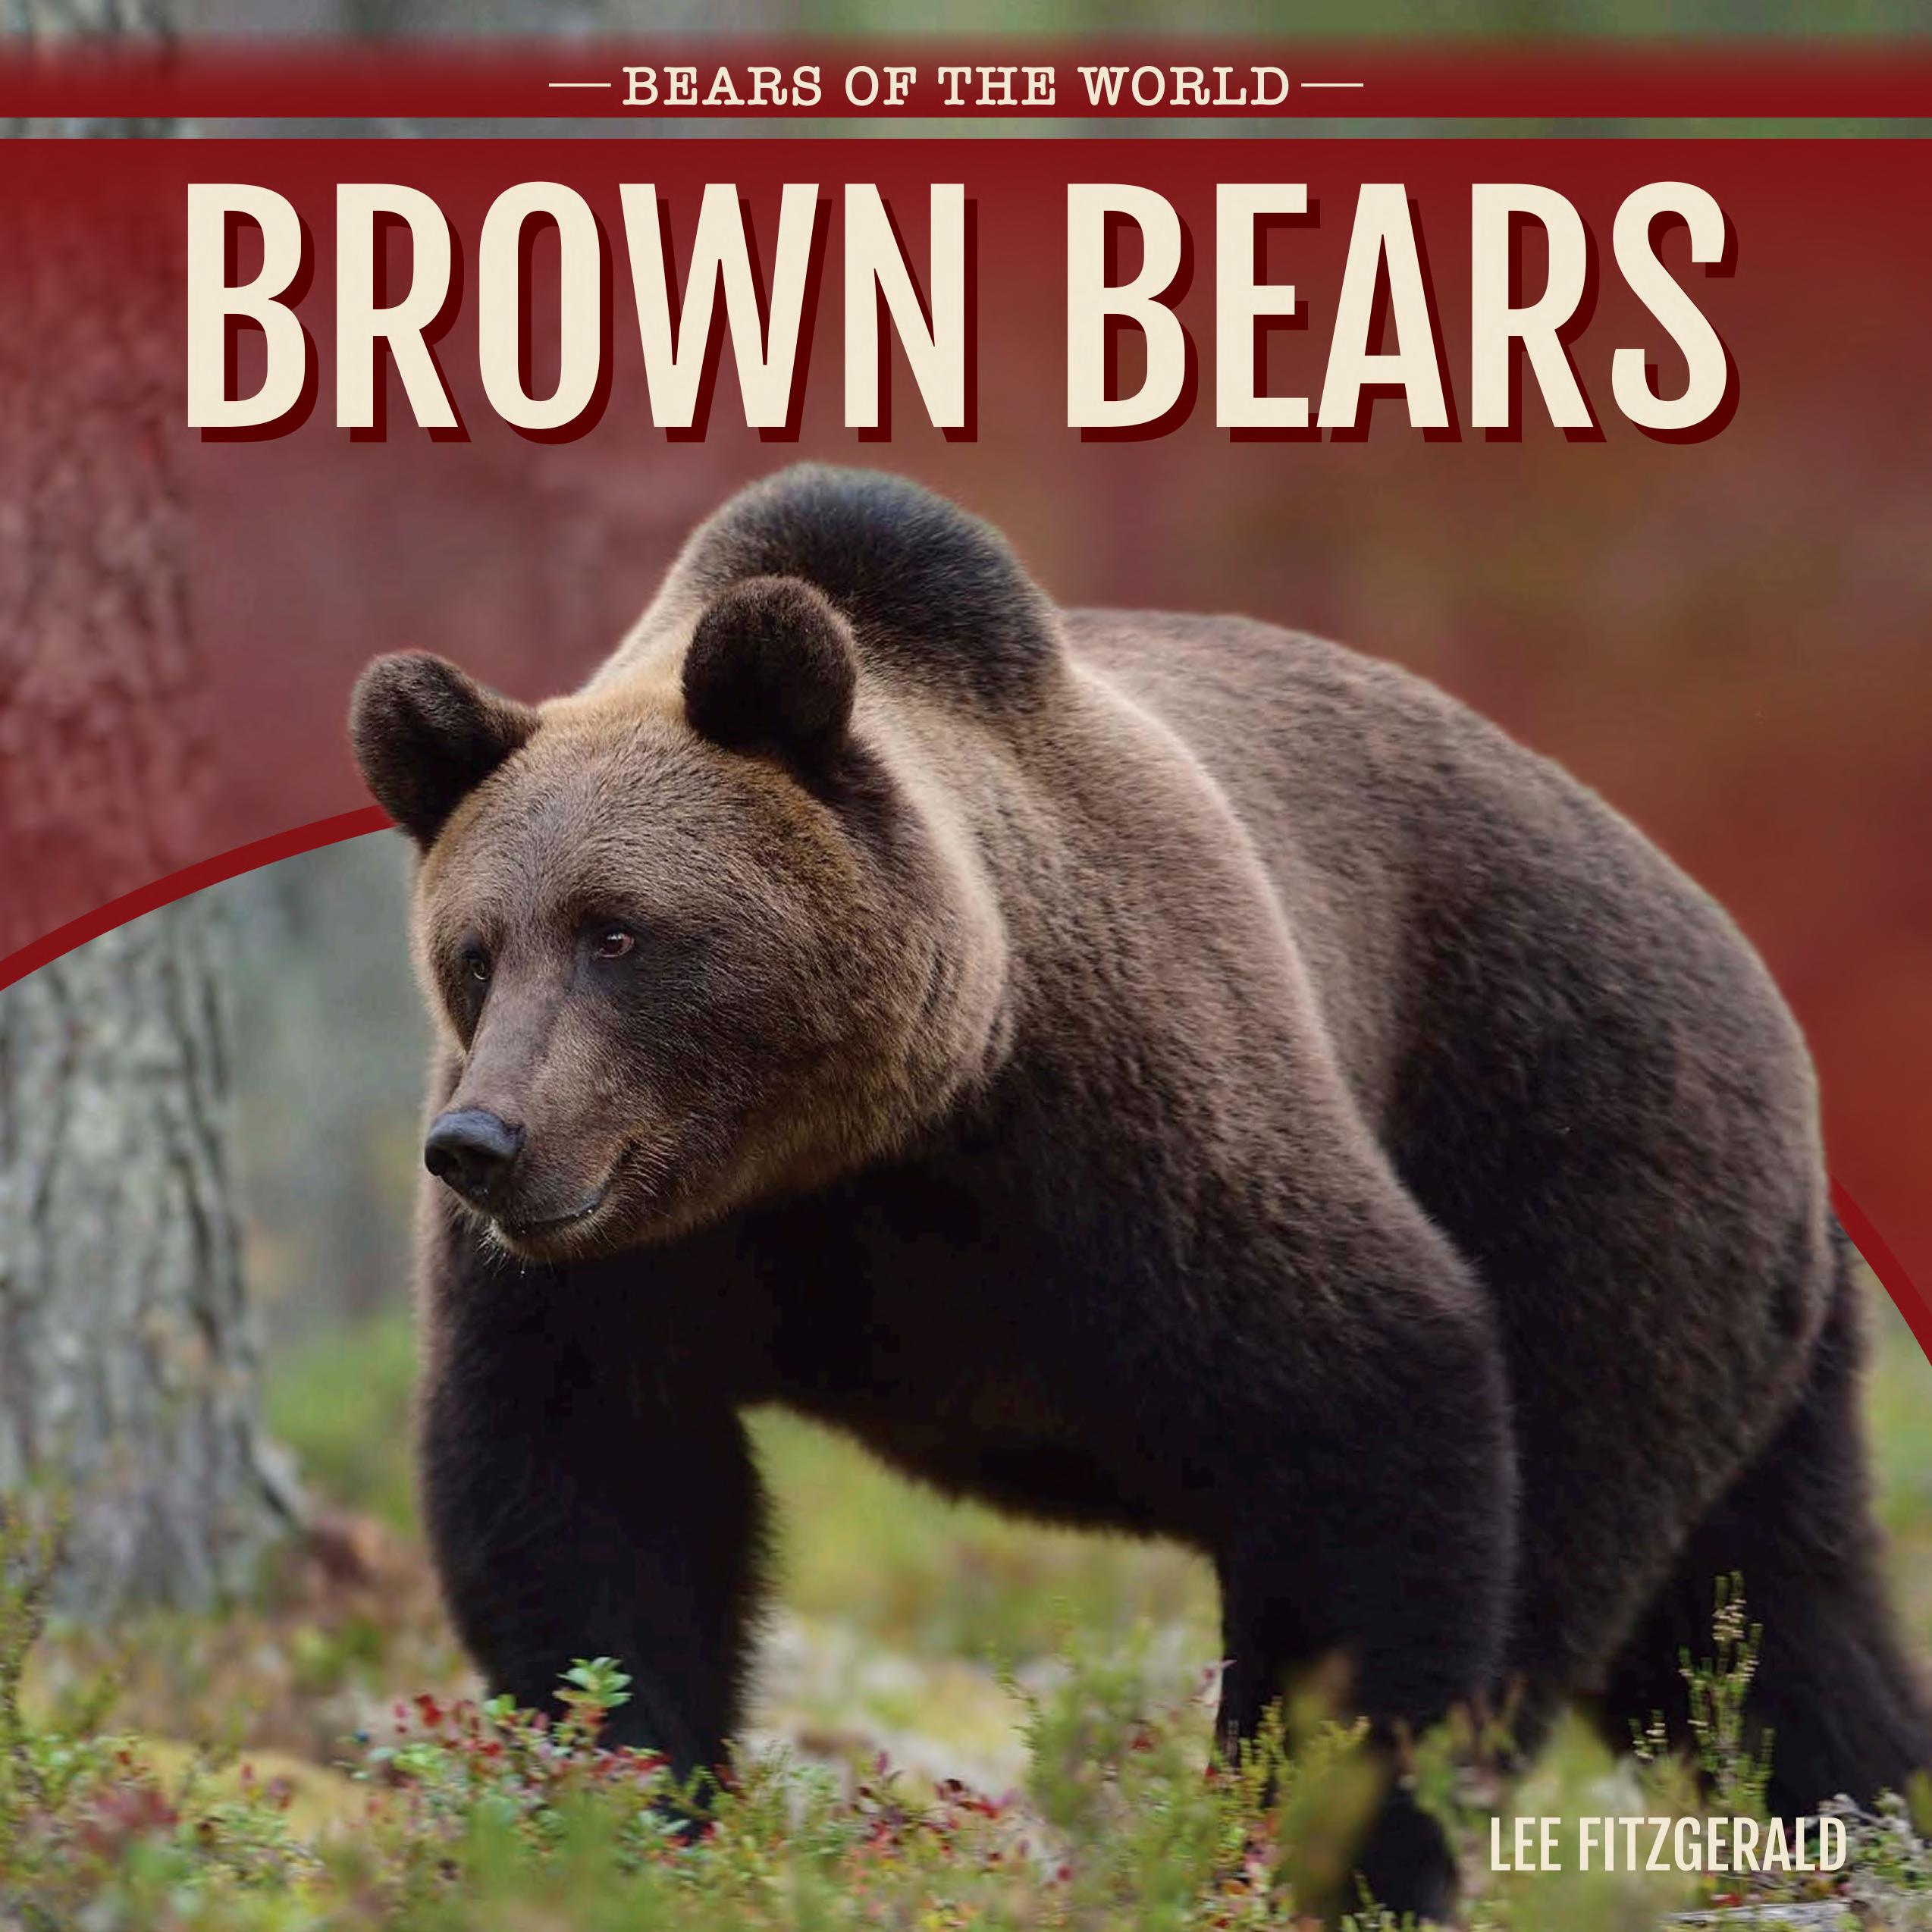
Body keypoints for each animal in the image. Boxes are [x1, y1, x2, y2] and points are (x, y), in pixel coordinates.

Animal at [349, 463, 1931, 1924]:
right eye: (476, 949)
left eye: (617, 930)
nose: (482, 1141)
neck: (852, 1144)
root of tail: (1742, 969)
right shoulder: (639, 1268)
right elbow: (589, 1502)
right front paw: (621, 1814)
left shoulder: (1125, 1128)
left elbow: (1363, 1421)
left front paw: (1314, 1842)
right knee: (1773, 1608)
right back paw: (1864, 1812)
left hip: (1585, 1158)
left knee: (1591, 1564)